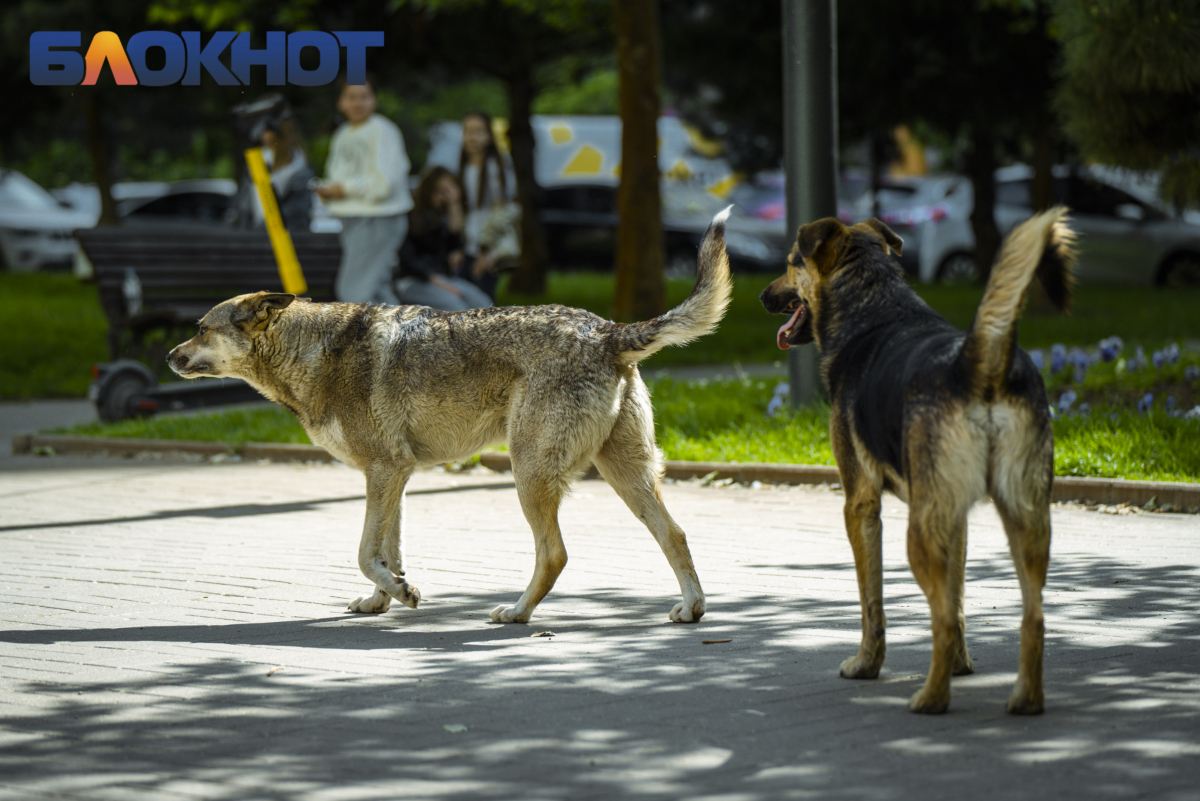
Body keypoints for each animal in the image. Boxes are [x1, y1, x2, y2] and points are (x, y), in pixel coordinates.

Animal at [763, 208, 1075, 714]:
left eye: (792, 262)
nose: (761, 295)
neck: (874, 303)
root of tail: (979, 362)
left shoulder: (861, 504)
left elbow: (873, 602)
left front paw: (866, 665)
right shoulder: (955, 515)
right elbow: (959, 599)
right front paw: (961, 666)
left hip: (920, 533)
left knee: (942, 618)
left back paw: (930, 698)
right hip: (1026, 517)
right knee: (1032, 616)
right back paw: (1024, 699)